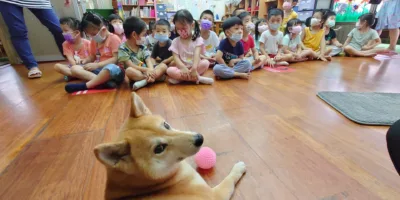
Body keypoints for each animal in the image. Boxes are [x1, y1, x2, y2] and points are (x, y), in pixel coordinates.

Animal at [94, 92, 247, 200]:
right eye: (159, 149)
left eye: (166, 125)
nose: (200, 138)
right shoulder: (215, 195)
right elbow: (229, 179)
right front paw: (237, 168)